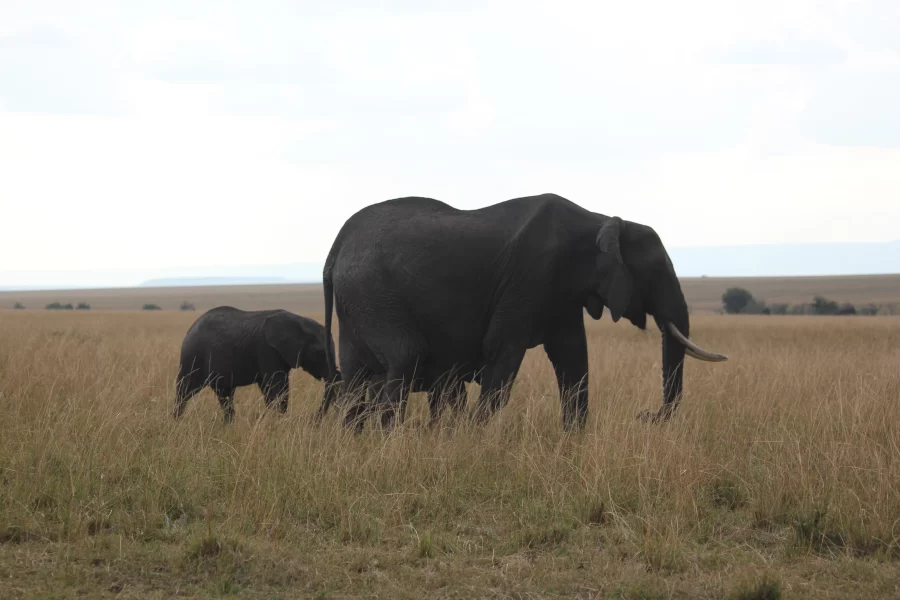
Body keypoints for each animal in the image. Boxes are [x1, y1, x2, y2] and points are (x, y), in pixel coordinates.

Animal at [172, 308, 342, 424]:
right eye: (319, 352)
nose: (314, 420)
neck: (299, 321)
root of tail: (190, 328)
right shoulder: (267, 350)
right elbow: (277, 388)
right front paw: (277, 422)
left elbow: (274, 389)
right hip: (193, 355)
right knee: (185, 390)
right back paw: (176, 421)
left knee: (224, 393)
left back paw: (228, 425)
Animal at [316, 192, 724, 432]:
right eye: (654, 271)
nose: (646, 417)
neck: (600, 220)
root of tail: (335, 248)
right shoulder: (531, 276)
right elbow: (503, 351)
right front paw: (475, 439)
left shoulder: (560, 291)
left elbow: (573, 357)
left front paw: (573, 438)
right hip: (375, 295)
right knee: (404, 359)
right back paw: (387, 439)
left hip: (358, 305)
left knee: (355, 378)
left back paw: (352, 438)